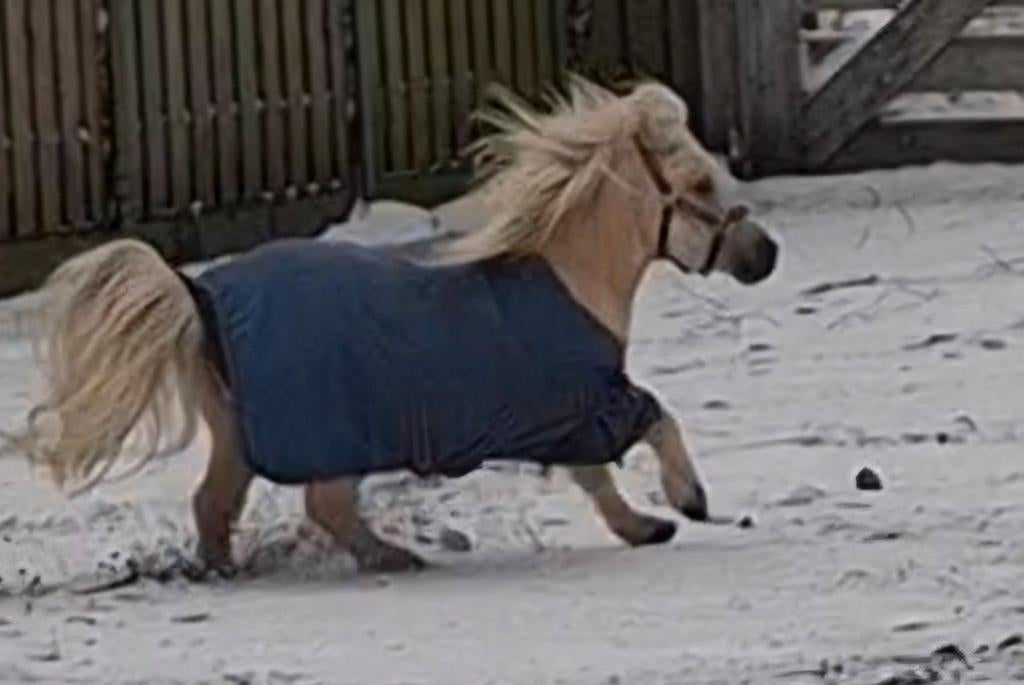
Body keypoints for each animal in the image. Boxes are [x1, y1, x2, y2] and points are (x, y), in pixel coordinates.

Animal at [5, 76, 778, 576]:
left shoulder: (568, 414)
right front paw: (689, 500)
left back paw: (226, 568)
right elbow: (657, 419)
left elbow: (596, 479)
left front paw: (644, 526)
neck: (570, 272)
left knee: (213, 504)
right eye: (700, 184)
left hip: (240, 434)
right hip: (332, 435)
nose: (765, 254)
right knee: (320, 504)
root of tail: (195, 295)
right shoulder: (590, 400)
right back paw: (392, 556)